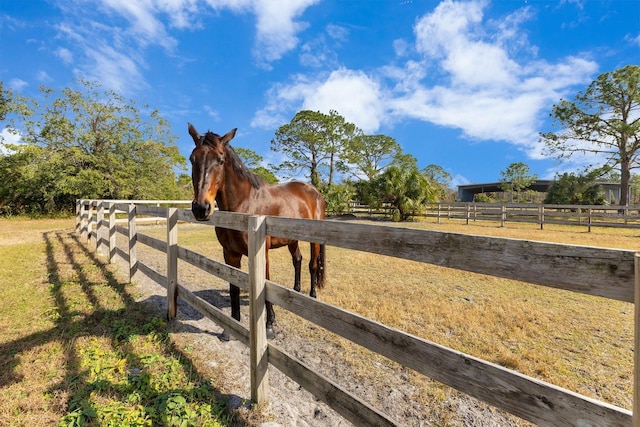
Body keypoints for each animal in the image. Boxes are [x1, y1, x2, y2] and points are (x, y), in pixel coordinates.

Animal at [185, 123, 324, 342]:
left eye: (220, 160)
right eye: (193, 159)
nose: (201, 208)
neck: (244, 205)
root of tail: (314, 191)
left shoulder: (261, 254)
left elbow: (265, 285)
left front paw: (269, 326)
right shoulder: (230, 254)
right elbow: (233, 288)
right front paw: (230, 328)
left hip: (314, 240)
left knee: (312, 265)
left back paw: (311, 296)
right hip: (292, 240)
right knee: (298, 260)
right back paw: (296, 291)